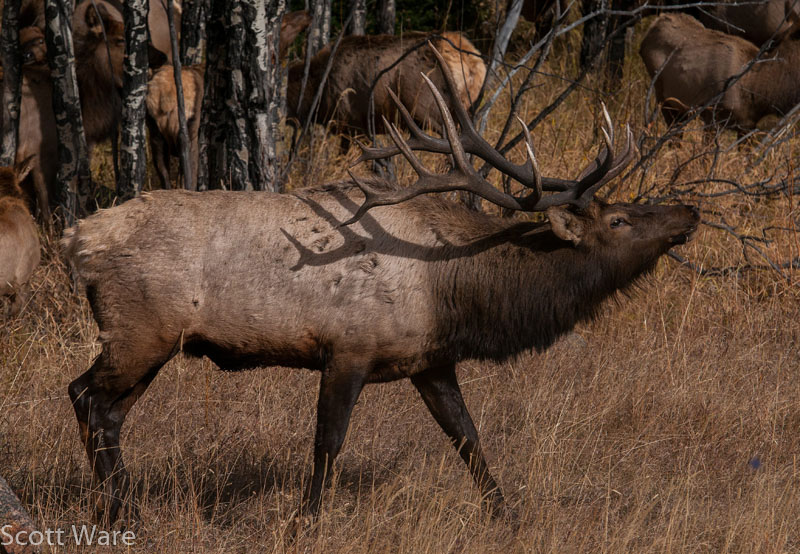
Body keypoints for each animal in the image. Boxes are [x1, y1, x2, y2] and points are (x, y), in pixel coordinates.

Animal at [62, 44, 700, 524]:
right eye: (619, 220)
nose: (688, 213)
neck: (454, 289)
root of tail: (78, 240)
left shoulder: (430, 359)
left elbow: (467, 436)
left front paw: (506, 514)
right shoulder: (348, 348)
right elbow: (328, 443)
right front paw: (307, 520)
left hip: (155, 343)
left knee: (108, 413)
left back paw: (119, 508)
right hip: (139, 331)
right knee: (85, 395)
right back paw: (119, 510)